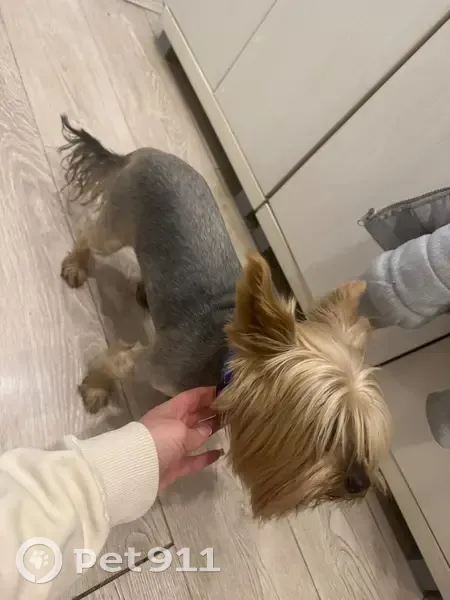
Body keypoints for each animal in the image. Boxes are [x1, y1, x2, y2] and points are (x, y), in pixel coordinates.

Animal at [59, 115, 392, 520]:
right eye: (327, 432)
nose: (361, 483)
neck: (223, 361)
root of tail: (141, 154)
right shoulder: (152, 363)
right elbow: (114, 361)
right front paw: (95, 390)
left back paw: (143, 291)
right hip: (117, 225)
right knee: (90, 236)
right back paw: (76, 266)